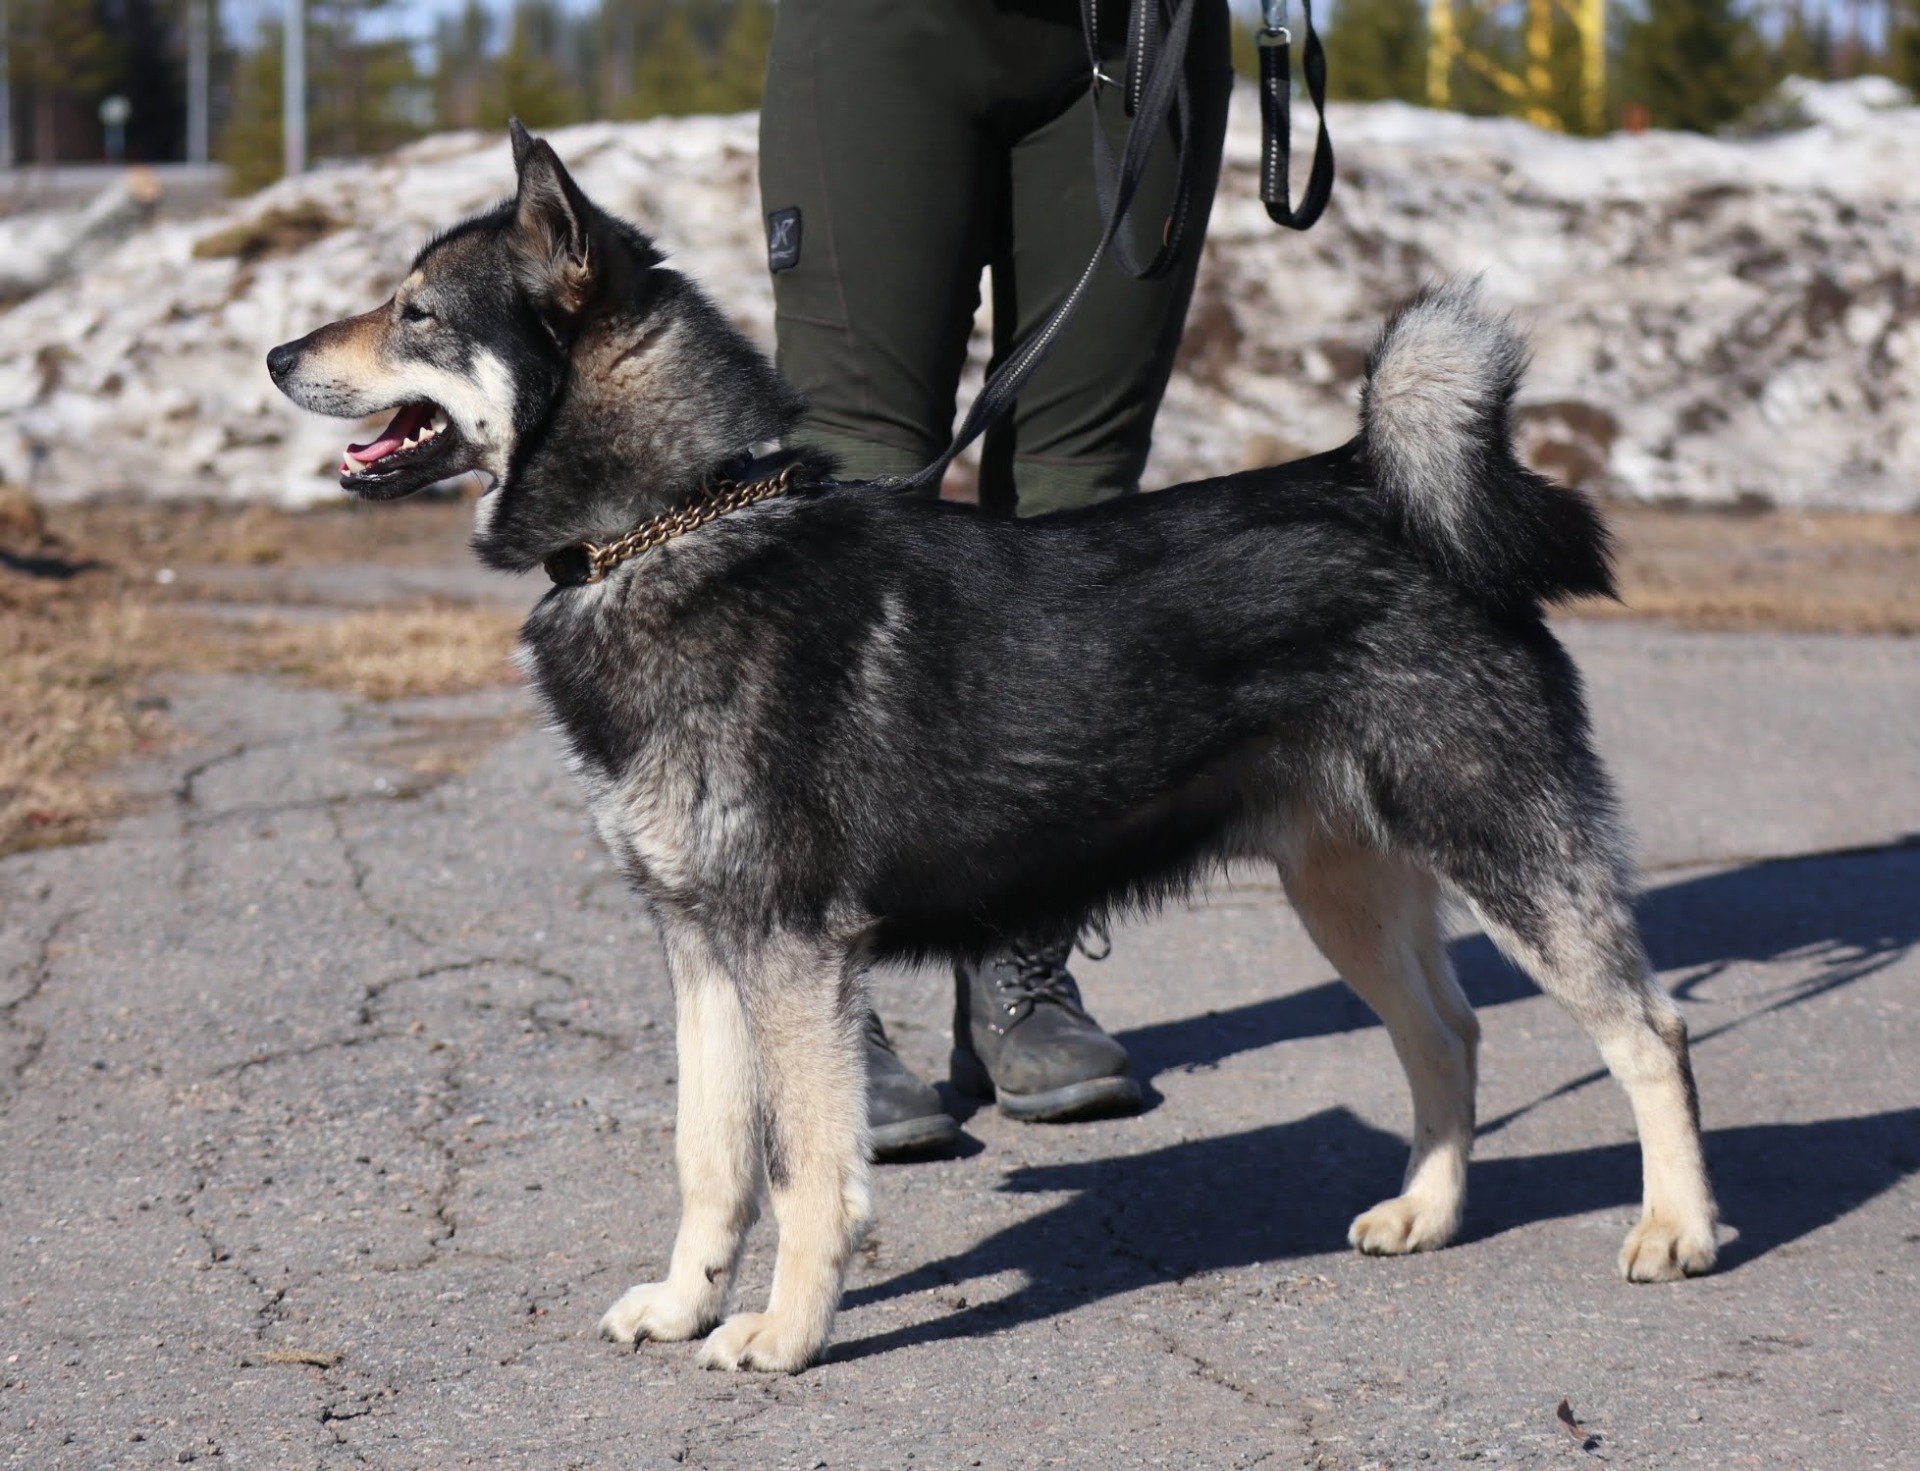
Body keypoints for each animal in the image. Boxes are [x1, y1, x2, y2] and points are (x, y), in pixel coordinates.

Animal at [267, 121, 1719, 1372]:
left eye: (416, 310)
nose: (279, 354)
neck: (674, 527)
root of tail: (1378, 484)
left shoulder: (790, 948)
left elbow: (806, 1169)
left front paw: (782, 1331)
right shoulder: (701, 941)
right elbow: (711, 1154)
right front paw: (686, 1304)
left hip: (1503, 846)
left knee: (1648, 1024)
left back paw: (1677, 1226)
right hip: (1346, 887)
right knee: (1451, 1033)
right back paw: (1429, 1209)